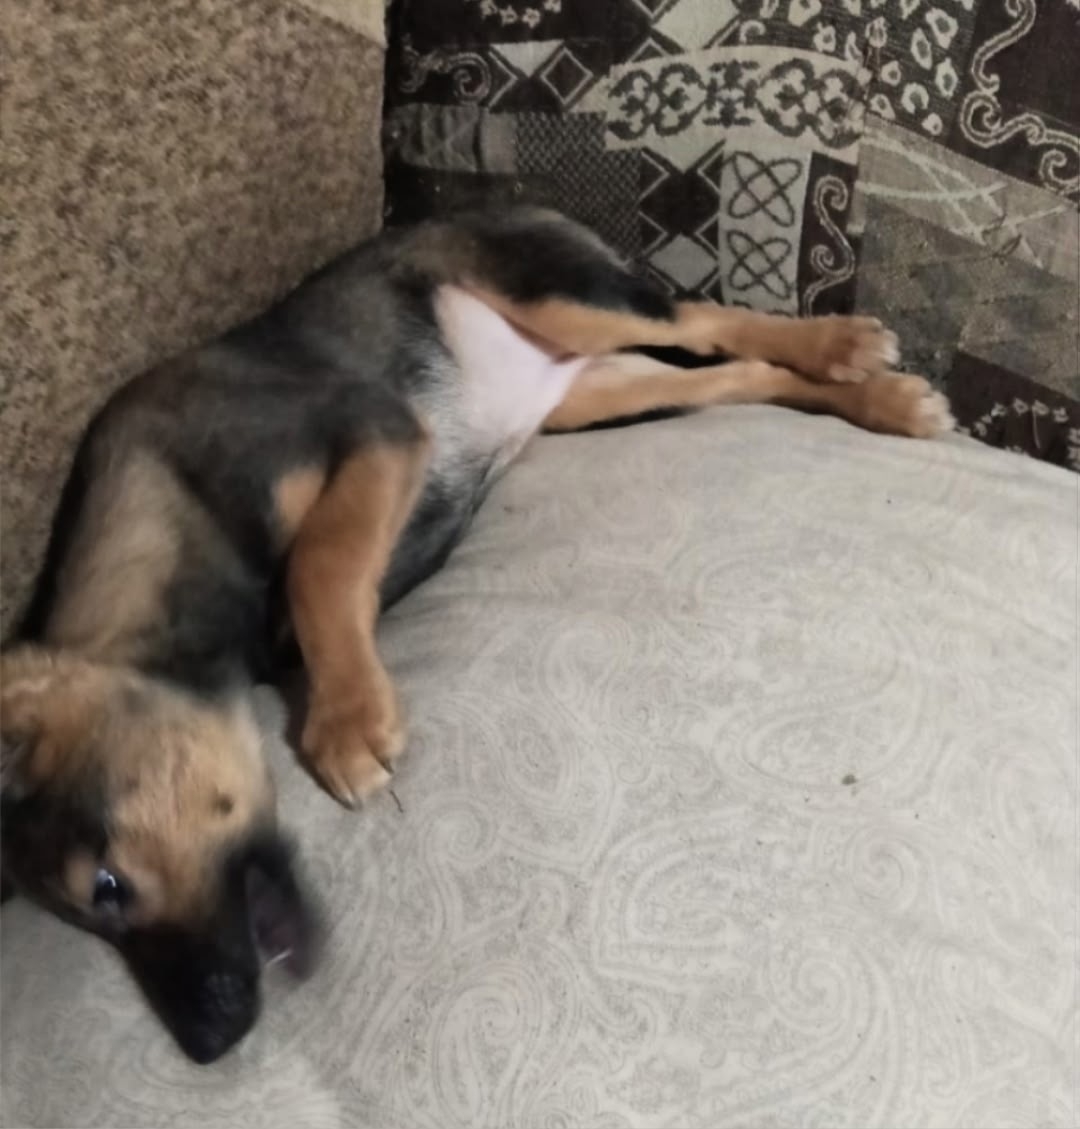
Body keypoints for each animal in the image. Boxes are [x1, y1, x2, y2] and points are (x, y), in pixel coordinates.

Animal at [0, 206, 953, 1063]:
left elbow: (319, 567)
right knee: (735, 375)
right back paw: (883, 403)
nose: (210, 1046)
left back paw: (845, 346)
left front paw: (346, 721)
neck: (165, 515)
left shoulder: (379, 431)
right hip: (596, 390)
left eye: (107, 885)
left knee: (709, 321)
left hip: (557, 291)